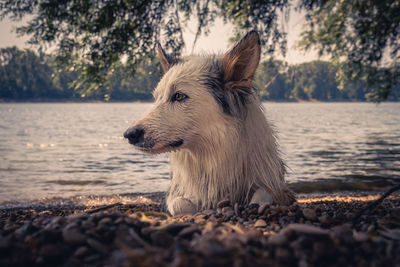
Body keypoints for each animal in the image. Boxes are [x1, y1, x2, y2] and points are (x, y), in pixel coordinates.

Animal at [123, 30, 296, 216]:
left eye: (179, 96)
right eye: (156, 99)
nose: (129, 135)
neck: (213, 155)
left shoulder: (278, 187)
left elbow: (262, 194)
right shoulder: (175, 193)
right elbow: (181, 204)